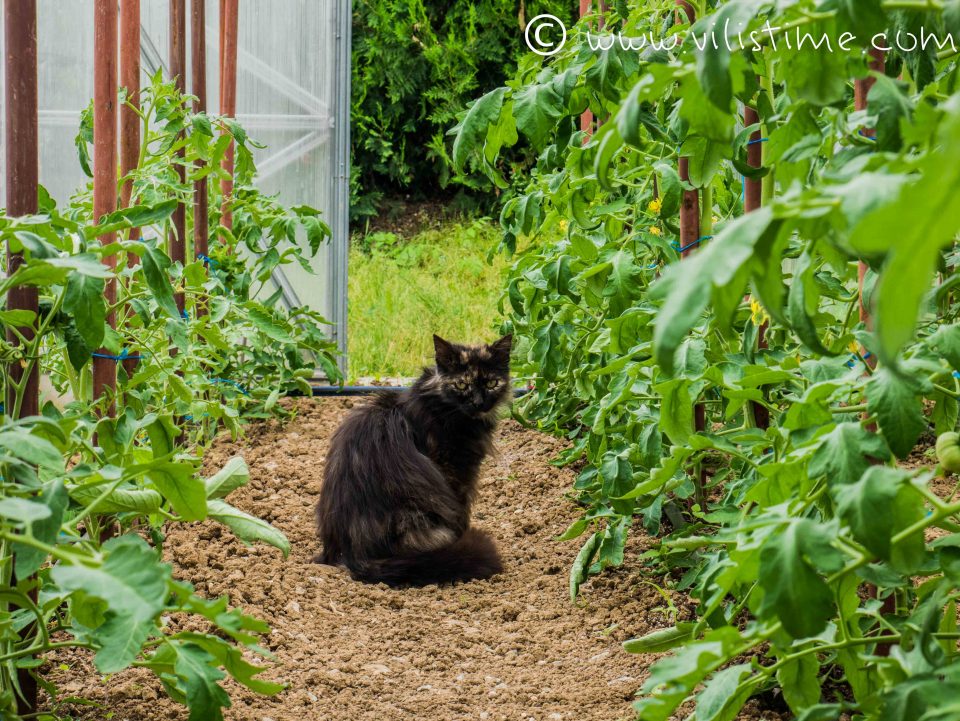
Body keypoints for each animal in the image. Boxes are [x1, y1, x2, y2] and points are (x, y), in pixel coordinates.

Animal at [314, 334, 510, 588]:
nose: (479, 403)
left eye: (491, 384)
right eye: (461, 385)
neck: (441, 404)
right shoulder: (454, 471)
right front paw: (461, 539)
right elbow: (461, 514)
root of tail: (353, 556)